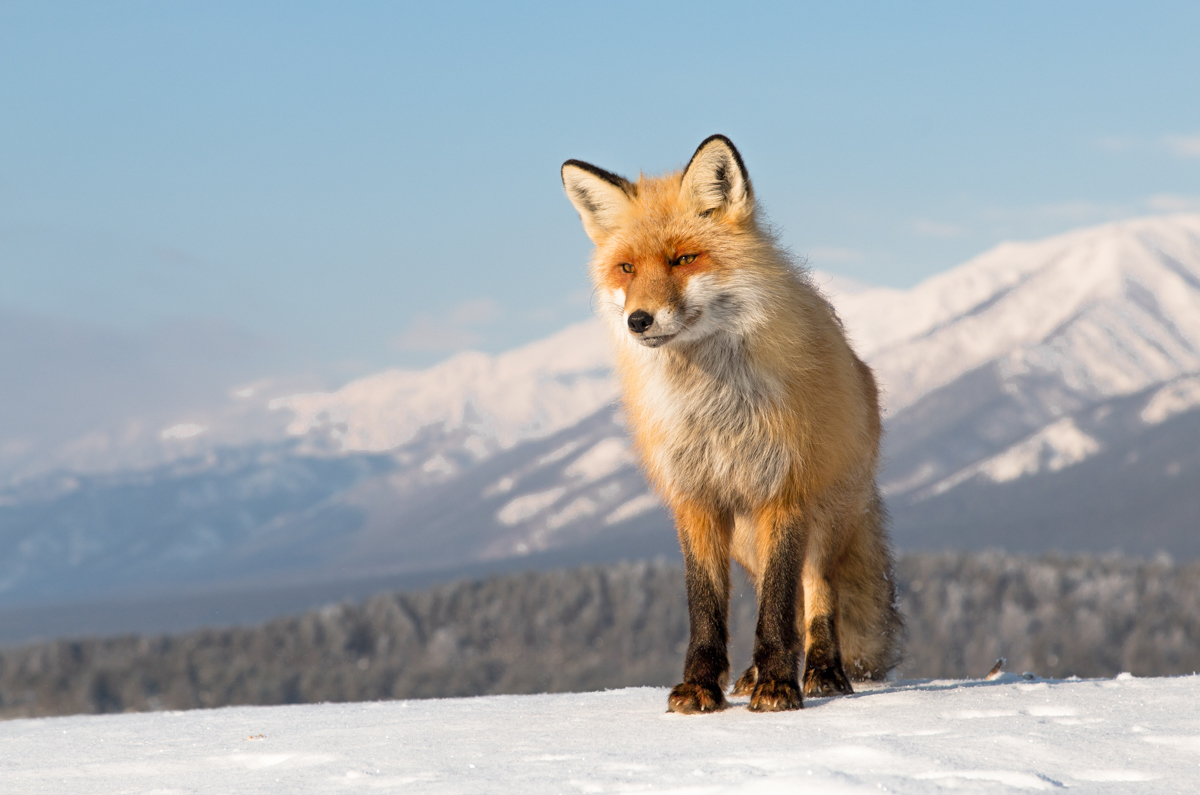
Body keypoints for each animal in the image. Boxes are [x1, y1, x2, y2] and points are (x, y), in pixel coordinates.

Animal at [561, 135, 902, 715]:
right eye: (627, 268)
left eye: (684, 259)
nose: (638, 321)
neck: (715, 410)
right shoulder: (696, 497)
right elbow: (707, 607)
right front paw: (701, 686)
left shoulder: (784, 491)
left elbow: (780, 607)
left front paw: (779, 686)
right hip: (746, 538)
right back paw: (750, 674)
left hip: (823, 522)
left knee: (815, 595)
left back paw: (821, 671)